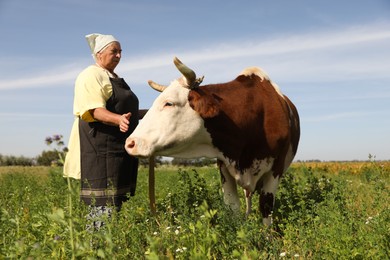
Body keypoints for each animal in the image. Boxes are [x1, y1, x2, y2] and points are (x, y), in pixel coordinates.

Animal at [126, 58, 300, 224]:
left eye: (169, 103)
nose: (130, 143)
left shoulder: (276, 168)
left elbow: (266, 207)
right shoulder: (224, 164)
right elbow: (232, 206)